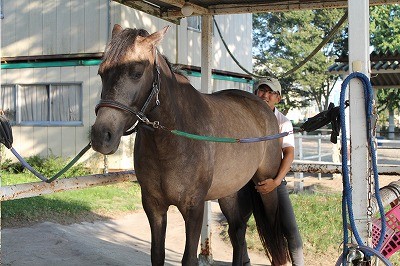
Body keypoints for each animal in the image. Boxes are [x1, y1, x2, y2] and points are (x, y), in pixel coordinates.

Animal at [91, 24, 288, 264]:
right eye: (101, 73)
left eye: (136, 72)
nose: (101, 136)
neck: (172, 141)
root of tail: (263, 107)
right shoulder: (154, 206)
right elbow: (157, 254)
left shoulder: (193, 208)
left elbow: (189, 258)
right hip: (229, 191)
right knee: (238, 230)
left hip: (266, 186)